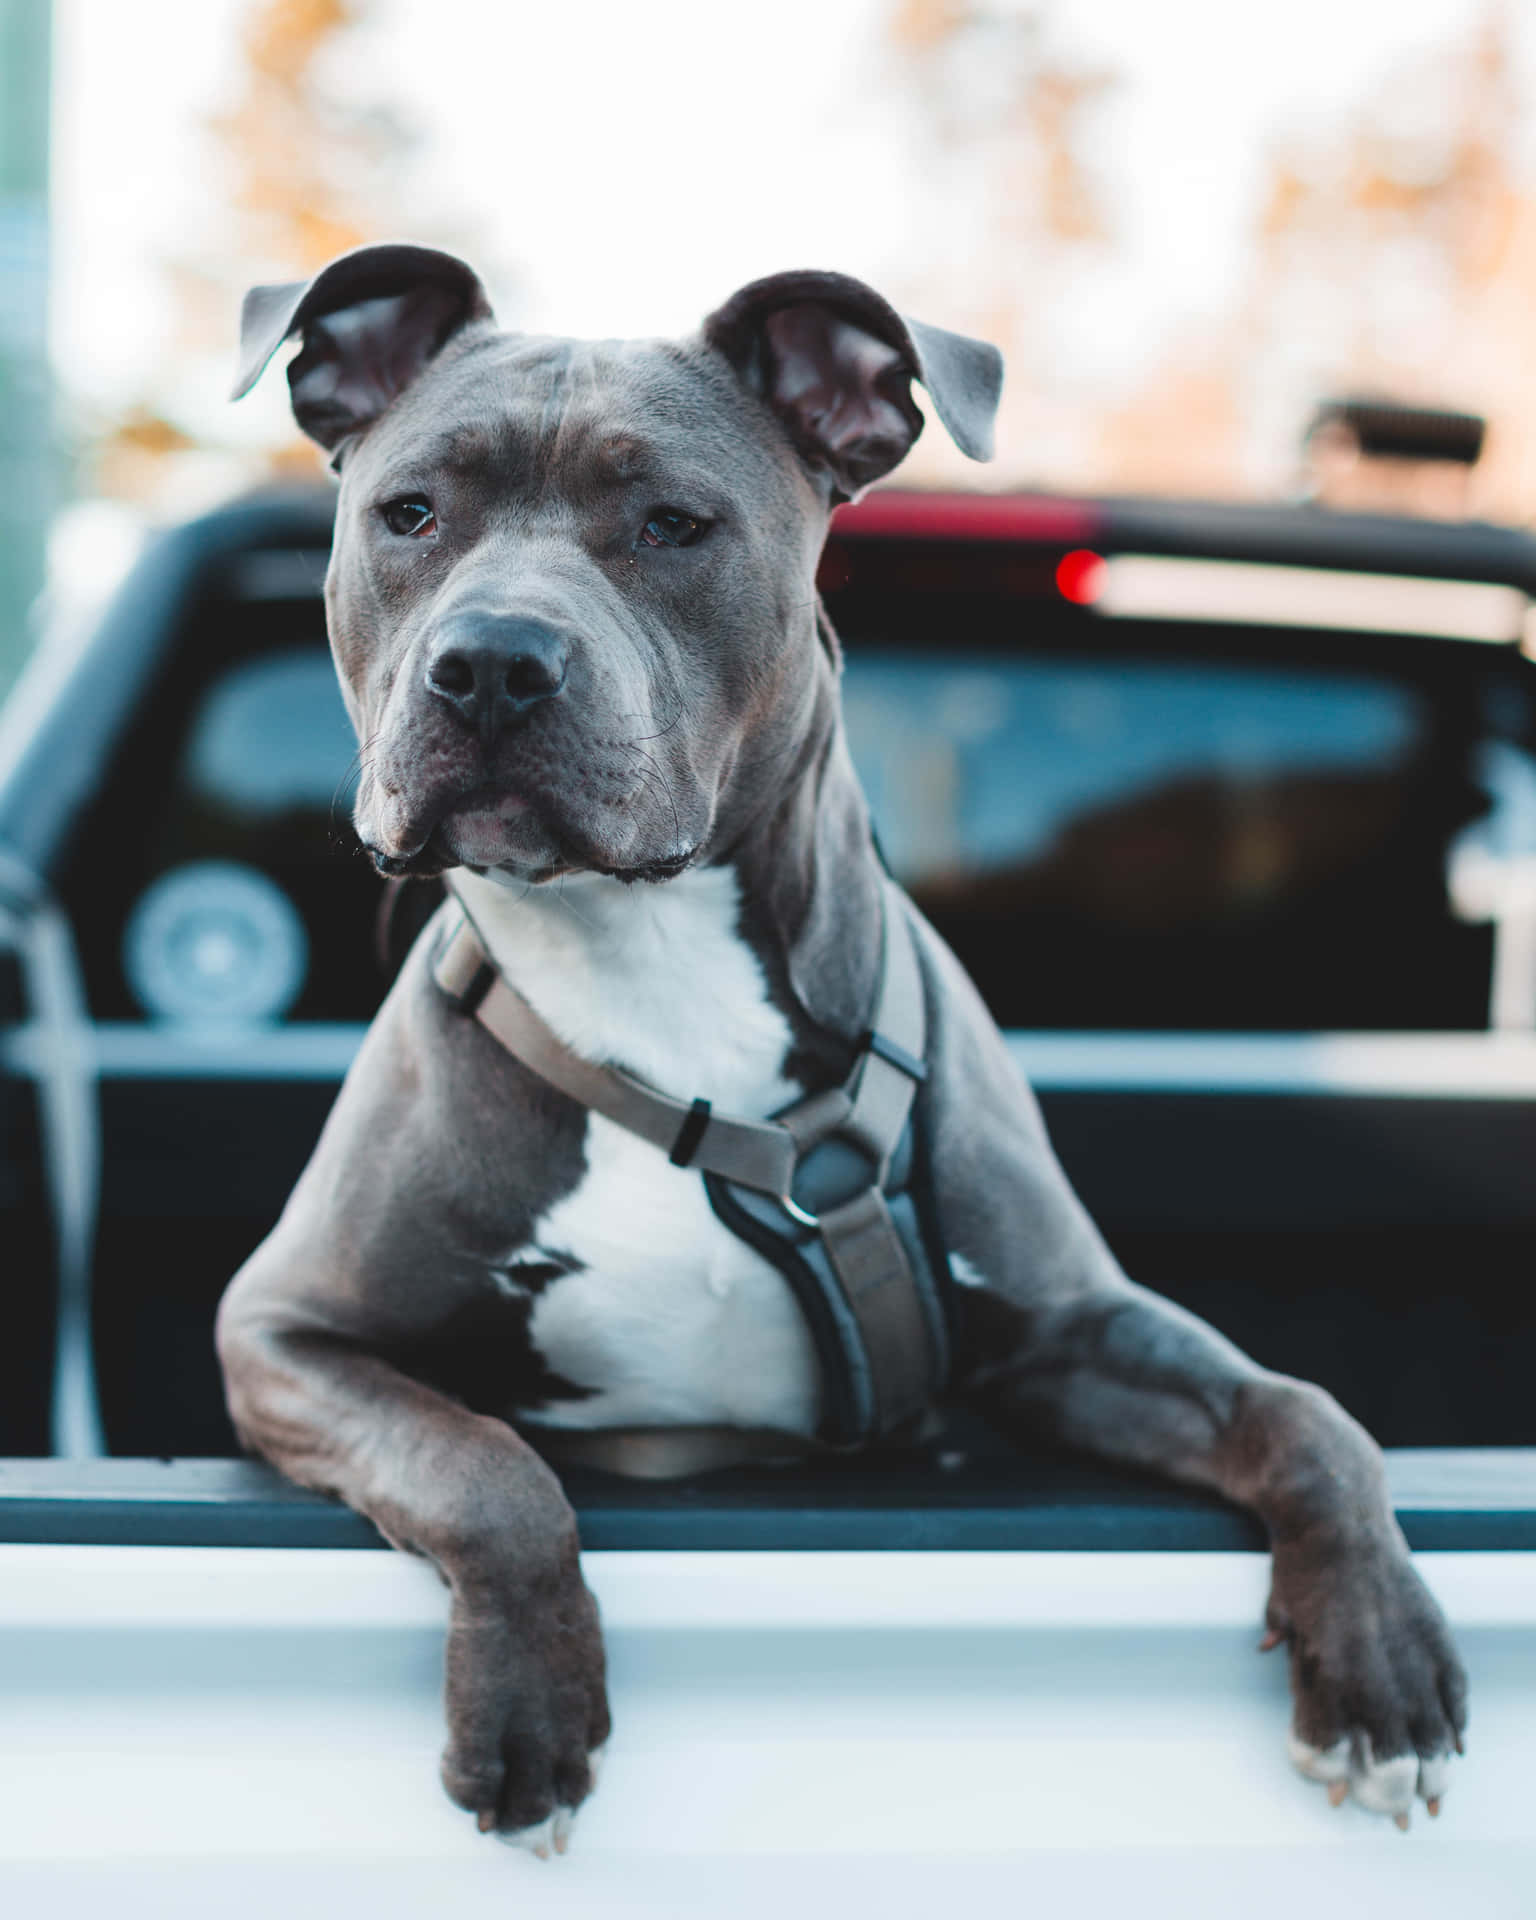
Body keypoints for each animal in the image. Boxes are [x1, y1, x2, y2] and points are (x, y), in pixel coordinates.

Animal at [216, 240, 1466, 1843]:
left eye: (673, 524)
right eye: (411, 514)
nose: (491, 661)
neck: (645, 959)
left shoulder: (1082, 1333)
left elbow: (1304, 1415)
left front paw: (1382, 1673)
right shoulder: (284, 1333)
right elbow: (481, 1464)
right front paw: (527, 1715)